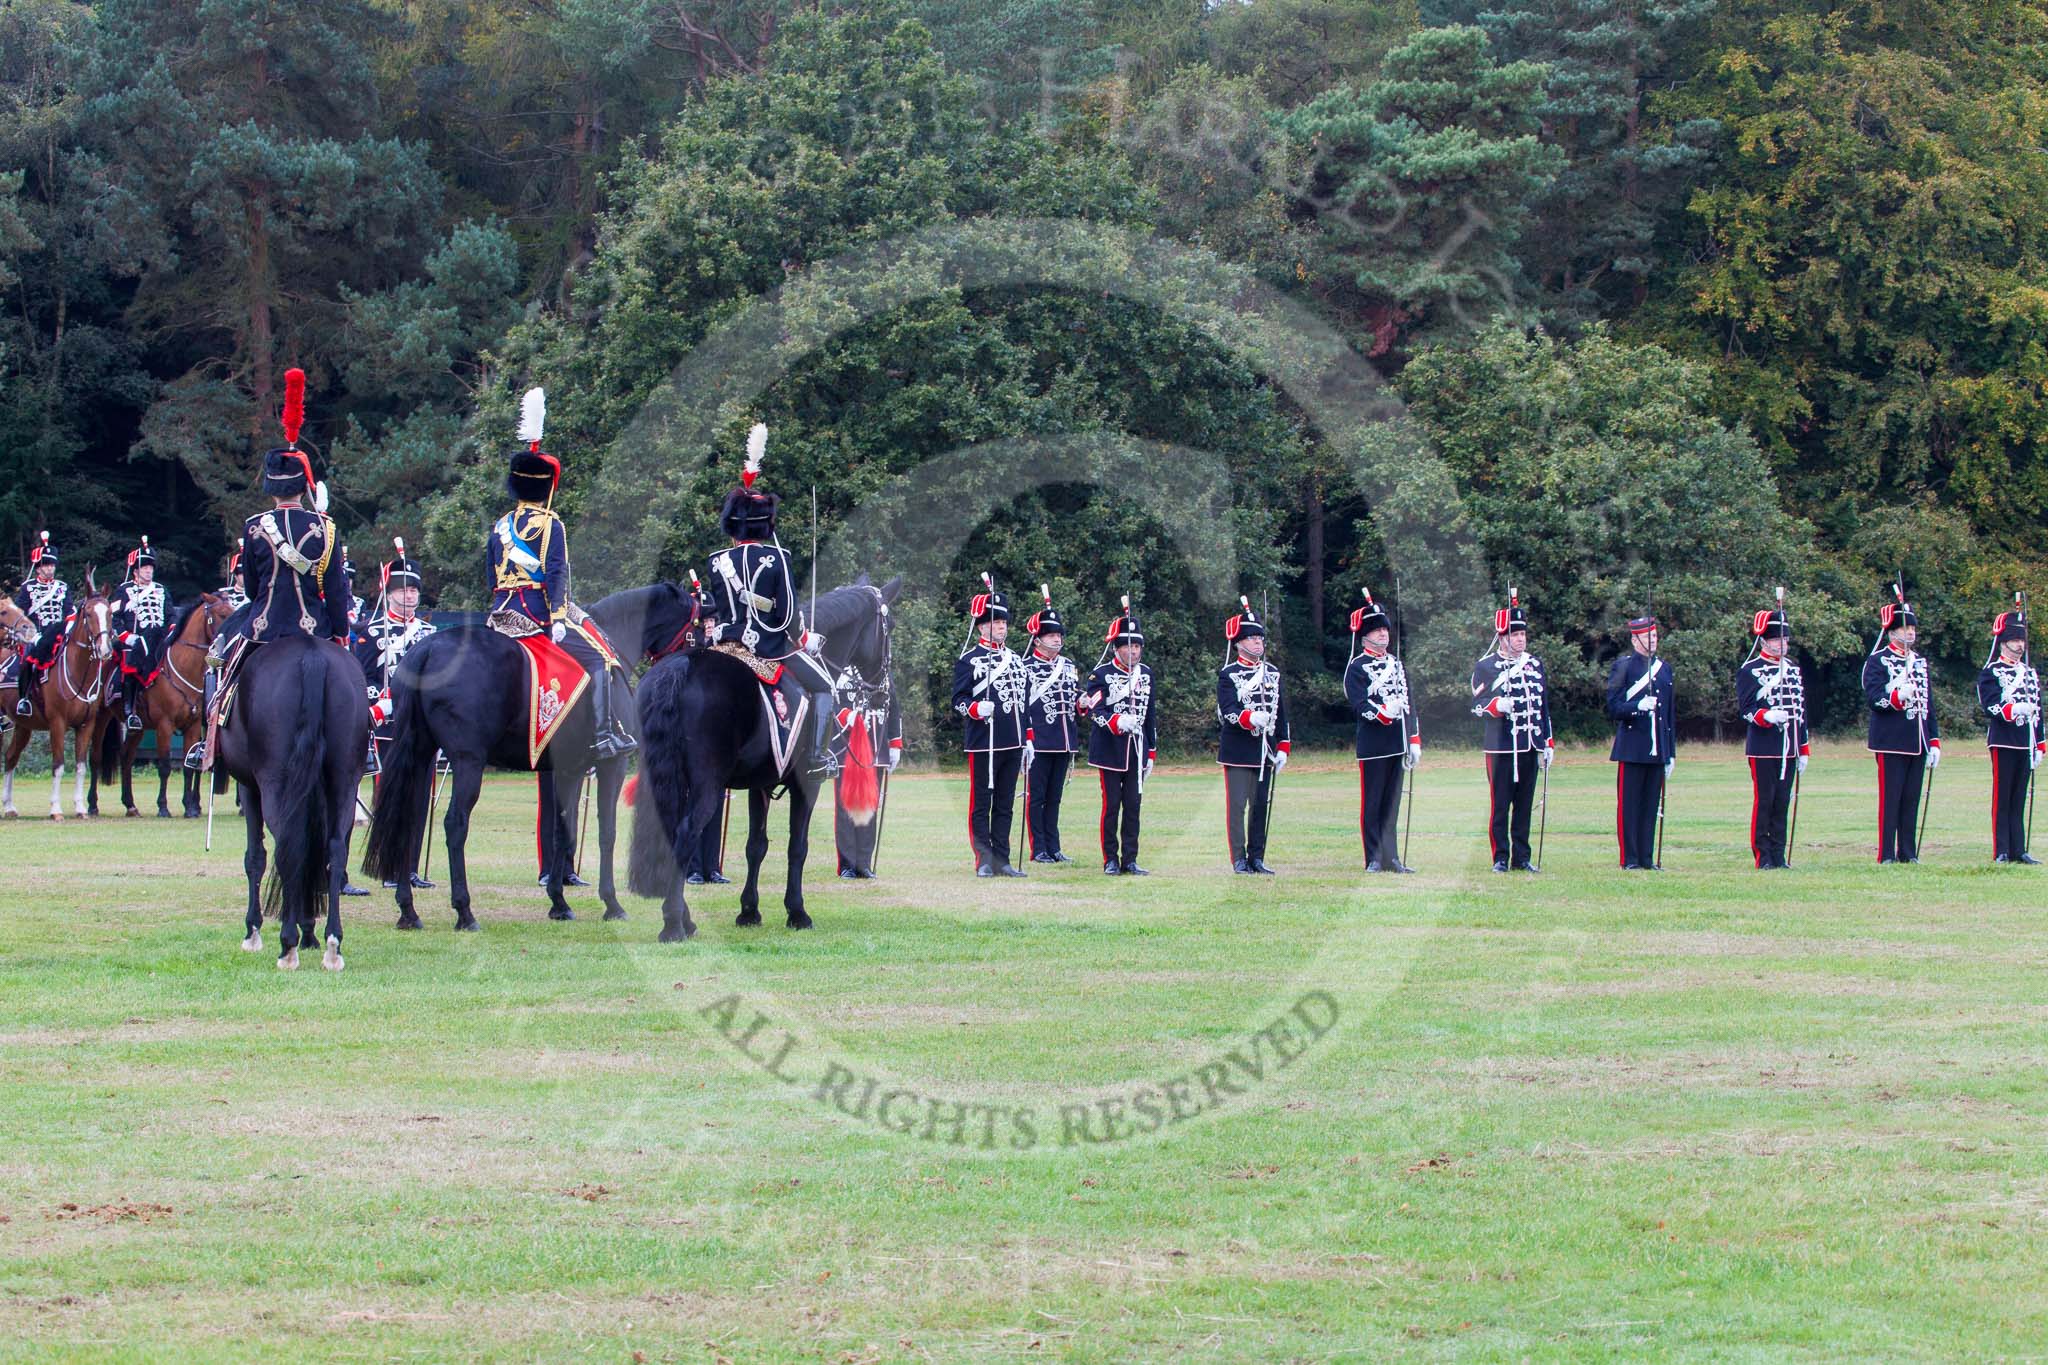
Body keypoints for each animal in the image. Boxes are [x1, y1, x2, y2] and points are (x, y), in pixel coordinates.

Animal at [1, 581, 113, 822]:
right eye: (88, 614)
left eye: (109, 613)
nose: (104, 649)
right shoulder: (58, 723)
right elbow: (58, 765)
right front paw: (56, 810)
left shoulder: (86, 725)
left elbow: (80, 767)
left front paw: (80, 808)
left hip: (23, 725)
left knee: (11, 757)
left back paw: (9, 806)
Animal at [96, 593, 233, 818]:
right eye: (222, 614)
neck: (185, 669)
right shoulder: (164, 726)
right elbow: (165, 767)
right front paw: (163, 807)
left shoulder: (193, 726)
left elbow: (188, 766)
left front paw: (189, 807)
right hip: (99, 719)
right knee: (94, 757)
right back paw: (92, 805)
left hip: (139, 728)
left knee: (126, 757)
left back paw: (130, 804)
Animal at [218, 634, 374, 965]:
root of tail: (312, 655)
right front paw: (310, 930)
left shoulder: (249, 788)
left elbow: (255, 857)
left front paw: (253, 931)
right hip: (344, 781)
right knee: (334, 850)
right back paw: (332, 944)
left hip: (274, 784)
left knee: (288, 846)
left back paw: (287, 945)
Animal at [362, 581, 696, 933]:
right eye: (695, 625)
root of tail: (426, 650)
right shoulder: (611, 765)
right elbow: (607, 832)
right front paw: (612, 904)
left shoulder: (569, 769)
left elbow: (563, 830)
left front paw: (559, 902)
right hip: (468, 761)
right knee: (455, 824)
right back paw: (465, 912)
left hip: (419, 754)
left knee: (407, 819)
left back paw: (408, 910)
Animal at [622, 573, 897, 941]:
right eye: (888, 628)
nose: (883, 692)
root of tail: (682, 664)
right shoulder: (806, 785)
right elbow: (797, 847)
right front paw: (797, 912)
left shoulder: (760, 784)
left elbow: (756, 846)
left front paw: (749, 911)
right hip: (706, 787)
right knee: (686, 833)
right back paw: (673, 924)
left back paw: (685, 919)